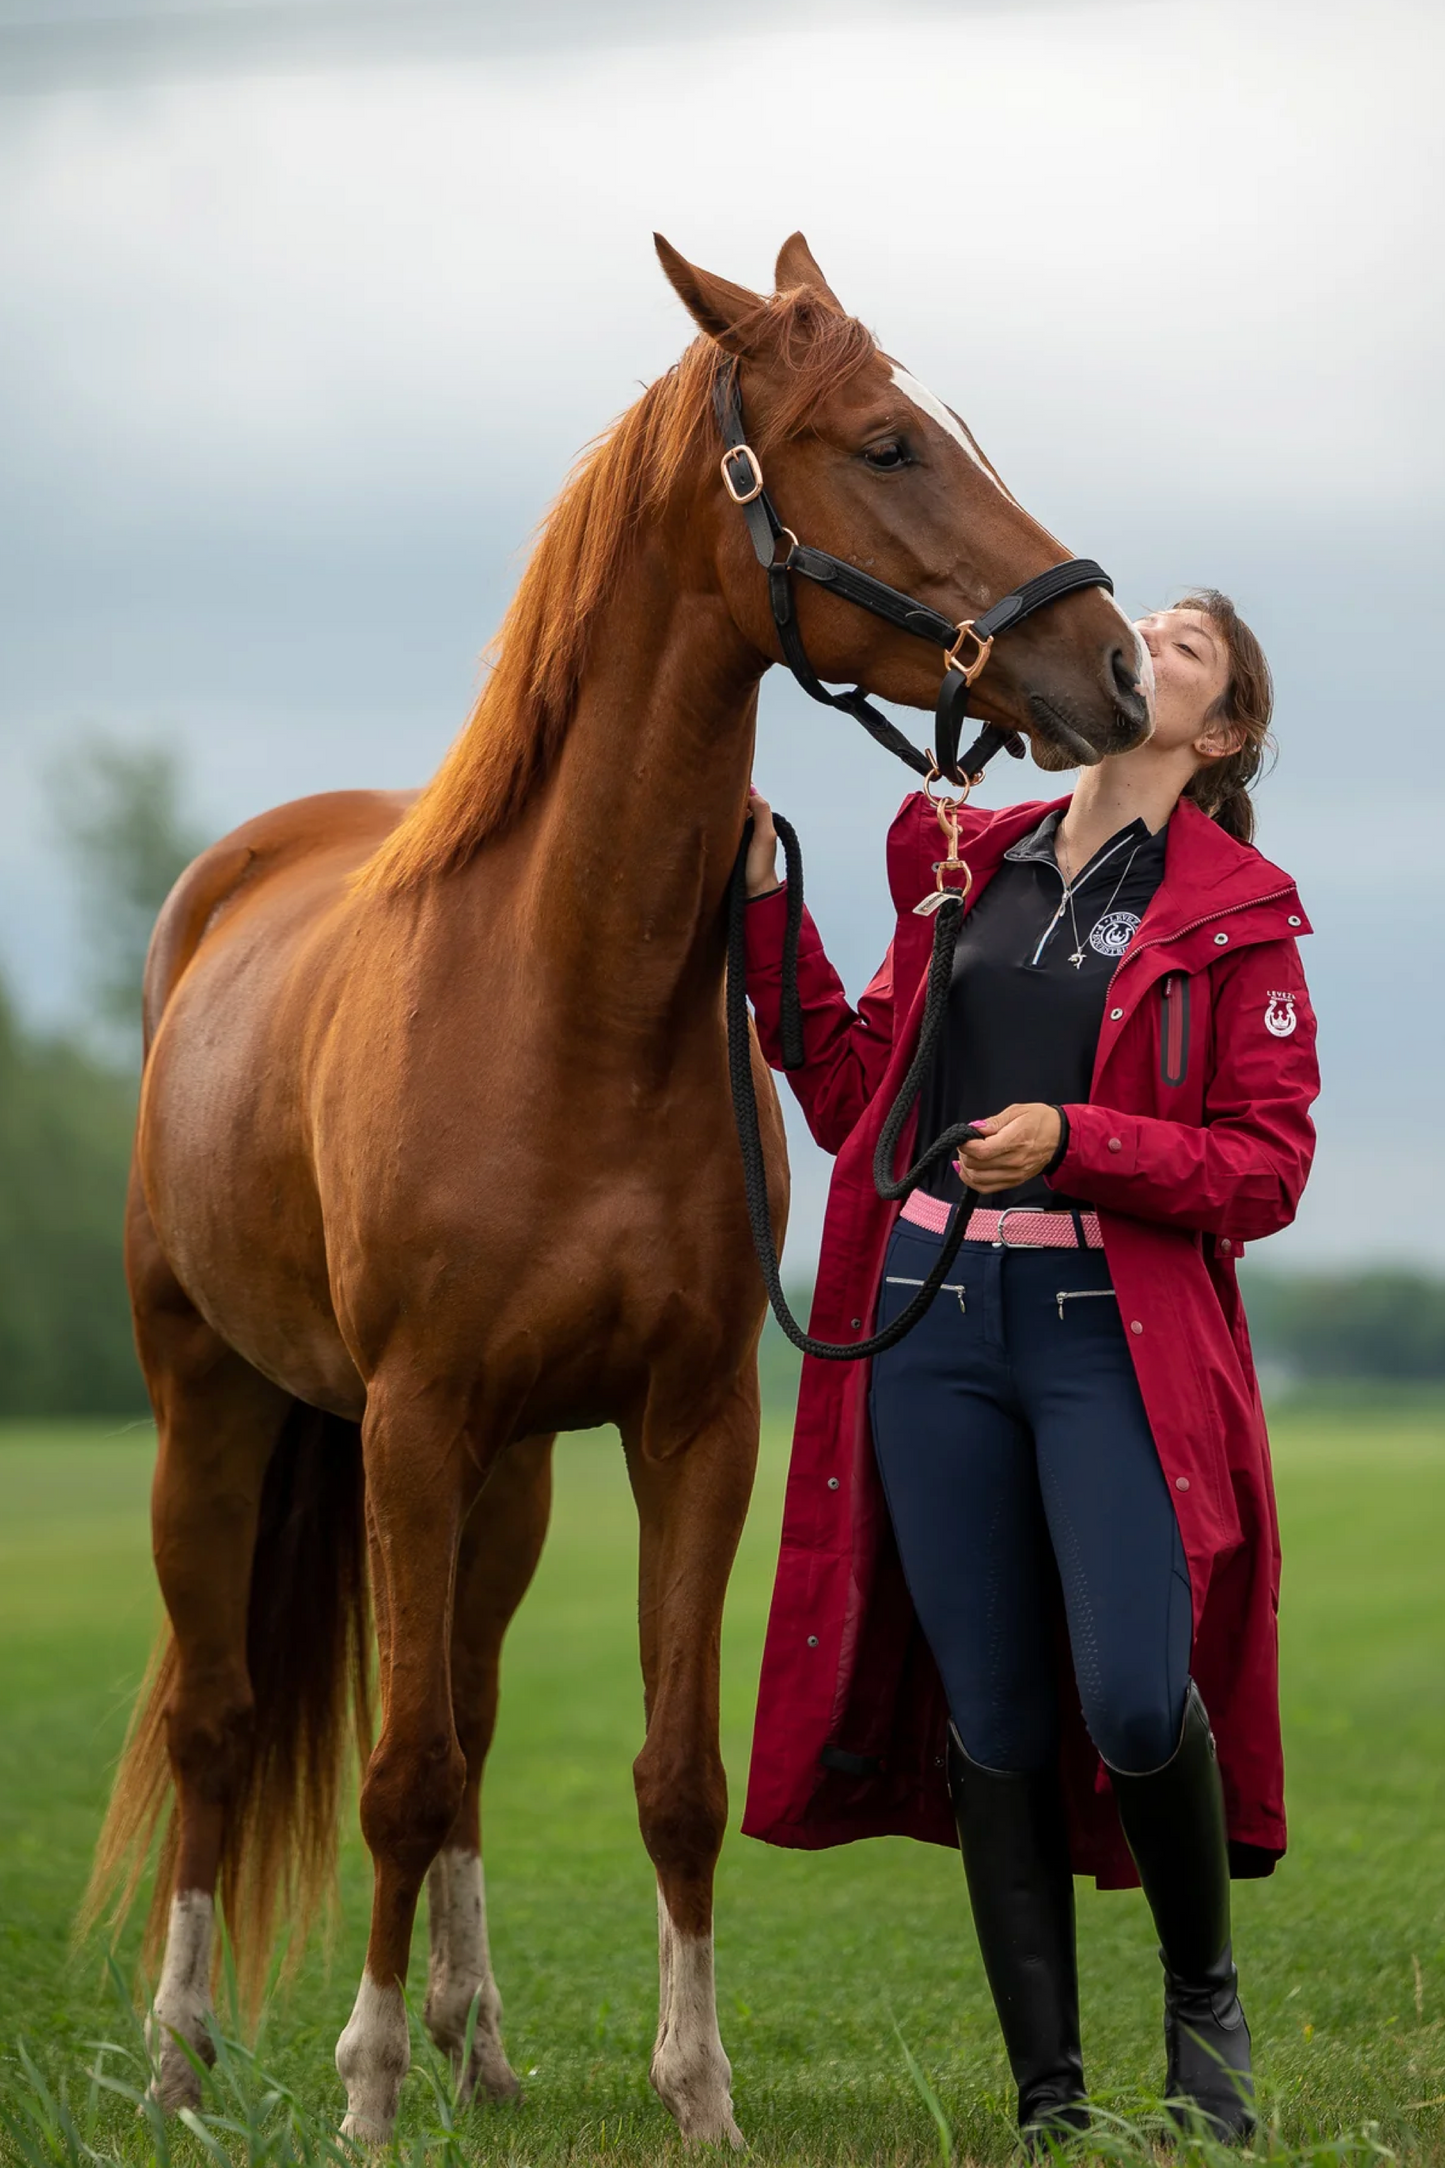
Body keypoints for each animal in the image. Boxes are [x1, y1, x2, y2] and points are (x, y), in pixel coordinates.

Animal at [87, 228, 1152, 2141]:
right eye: (887, 444)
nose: (1109, 666)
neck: (564, 991)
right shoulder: (412, 1419)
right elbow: (394, 1767)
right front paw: (363, 2094)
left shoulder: (687, 1420)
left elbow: (666, 1771)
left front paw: (694, 2090)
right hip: (215, 1411)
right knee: (224, 1718)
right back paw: (188, 2057)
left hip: (504, 1474)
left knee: (477, 1713)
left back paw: (478, 2039)